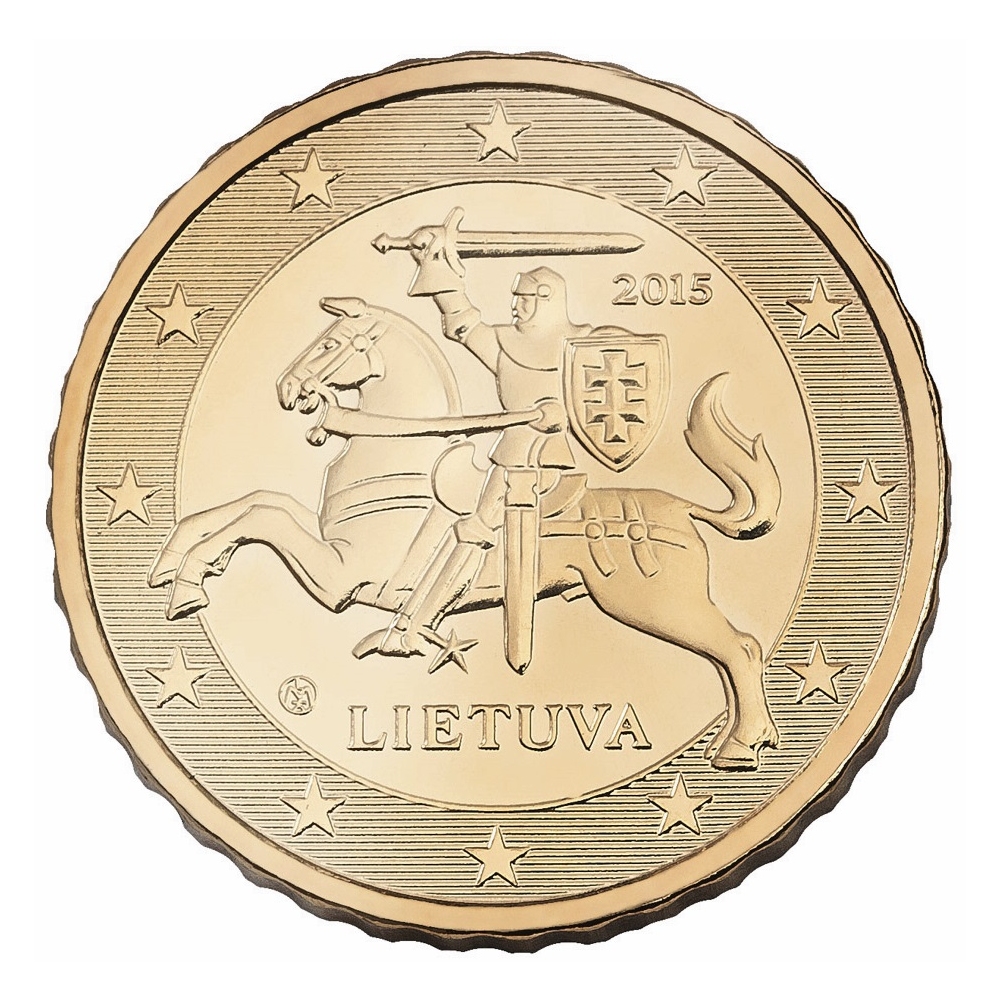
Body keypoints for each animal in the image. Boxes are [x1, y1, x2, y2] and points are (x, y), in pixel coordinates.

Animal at [149, 297, 781, 770]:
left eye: (330, 343)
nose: (286, 390)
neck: (393, 453)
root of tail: (684, 507)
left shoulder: (340, 574)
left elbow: (263, 516)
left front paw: (191, 581)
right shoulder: (328, 548)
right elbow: (255, 502)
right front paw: (176, 566)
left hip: (649, 601)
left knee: (740, 647)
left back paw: (741, 748)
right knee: (736, 652)